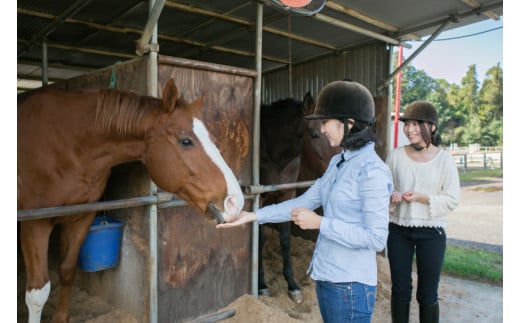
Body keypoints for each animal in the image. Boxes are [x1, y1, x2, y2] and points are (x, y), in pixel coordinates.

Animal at [16, 79, 244, 323]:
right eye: (185, 141)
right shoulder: (35, 224)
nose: (235, 201)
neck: (70, 144)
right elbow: (37, 293)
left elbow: (67, 271)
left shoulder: (81, 217)